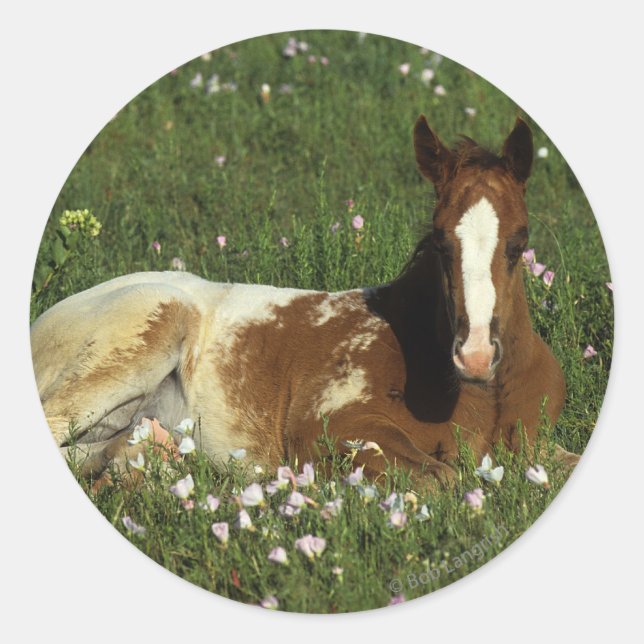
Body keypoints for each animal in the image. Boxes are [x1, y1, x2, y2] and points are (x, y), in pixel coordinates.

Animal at [31, 115, 578, 489]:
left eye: (520, 242)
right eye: (441, 242)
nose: (476, 355)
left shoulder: (538, 447)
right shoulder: (326, 428)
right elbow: (443, 479)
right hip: (152, 324)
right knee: (56, 427)